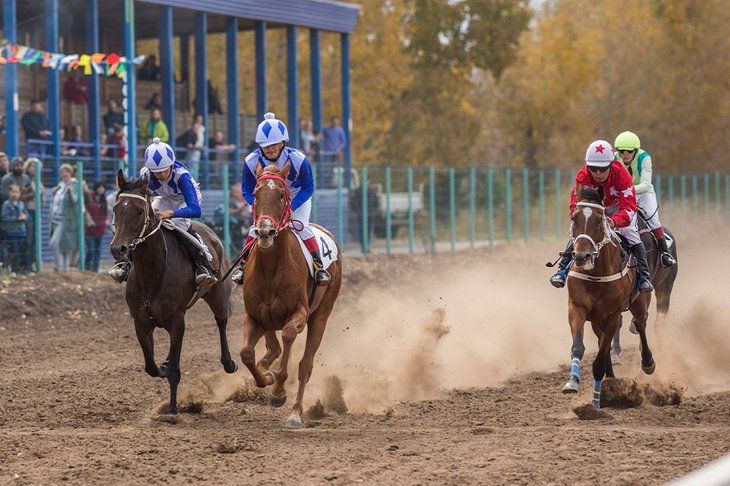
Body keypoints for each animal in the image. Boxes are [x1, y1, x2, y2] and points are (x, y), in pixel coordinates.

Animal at [109, 171, 237, 414]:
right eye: (115, 209)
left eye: (139, 211)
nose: (117, 249)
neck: (152, 272)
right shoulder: (140, 321)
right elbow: (150, 365)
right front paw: (162, 367)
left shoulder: (178, 321)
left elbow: (176, 371)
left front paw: (173, 409)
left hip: (218, 293)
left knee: (222, 321)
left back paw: (229, 362)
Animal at [239, 162, 342, 430]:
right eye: (256, 194)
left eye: (281, 195)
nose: (265, 231)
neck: (271, 268)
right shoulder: (253, 315)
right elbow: (247, 354)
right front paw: (266, 377)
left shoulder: (300, 313)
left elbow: (287, 337)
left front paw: (278, 391)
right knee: (270, 347)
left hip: (321, 315)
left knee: (305, 364)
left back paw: (295, 413)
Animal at [556, 188, 656, 408]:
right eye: (574, 218)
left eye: (599, 220)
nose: (581, 256)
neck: (596, 274)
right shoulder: (576, 308)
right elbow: (578, 347)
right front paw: (572, 382)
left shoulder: (611, 315)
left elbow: (599, 361)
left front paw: (595, 402)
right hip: (596, 320)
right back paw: (610, 378)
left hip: (639, 302)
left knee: (641, 324)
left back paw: (647, 362)